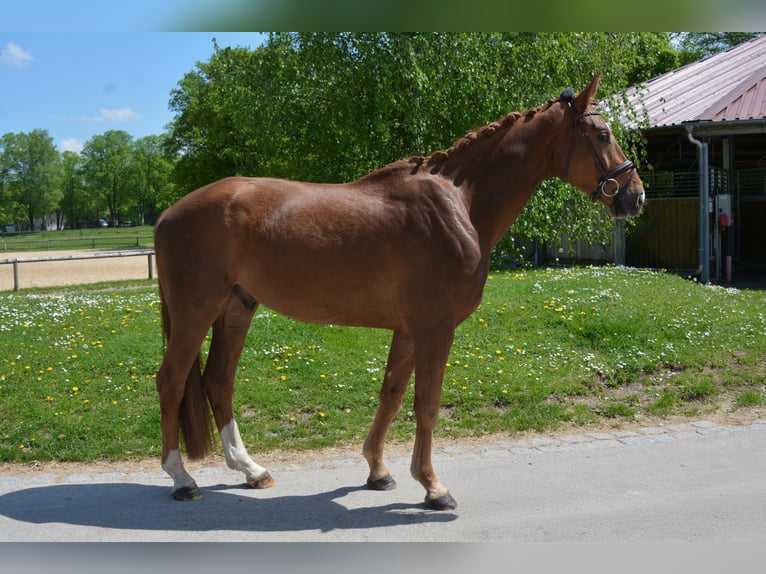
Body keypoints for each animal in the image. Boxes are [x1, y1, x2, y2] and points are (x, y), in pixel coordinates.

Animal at [154, 73, 645, 510]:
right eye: (602, 134)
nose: (635, 196)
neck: (459, 205)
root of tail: (169, 214)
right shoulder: (436, 329)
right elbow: (426, 405)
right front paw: (433, 487)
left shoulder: (409, 329)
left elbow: (390, 395)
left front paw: (378, 471)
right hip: (196, 312)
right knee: (171, 380)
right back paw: (182, 479)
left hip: (237, 307)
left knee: (219, 380)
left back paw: (251, 470)